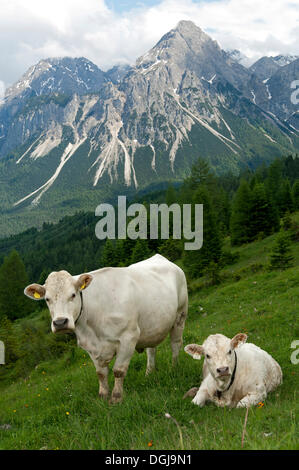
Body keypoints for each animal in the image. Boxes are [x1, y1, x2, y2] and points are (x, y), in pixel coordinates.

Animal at [25, 255, 188, 402]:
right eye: (47, 299)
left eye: (73, 294)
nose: (60, 323)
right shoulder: (90, 346)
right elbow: (101, 374)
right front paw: (103, 396)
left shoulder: (129, 337)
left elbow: (118, 371)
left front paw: (116, 398)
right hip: (151, 326)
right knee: (151, 350)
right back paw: (149, 373)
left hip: (180, 315)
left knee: (175, 344)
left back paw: (174, 368)